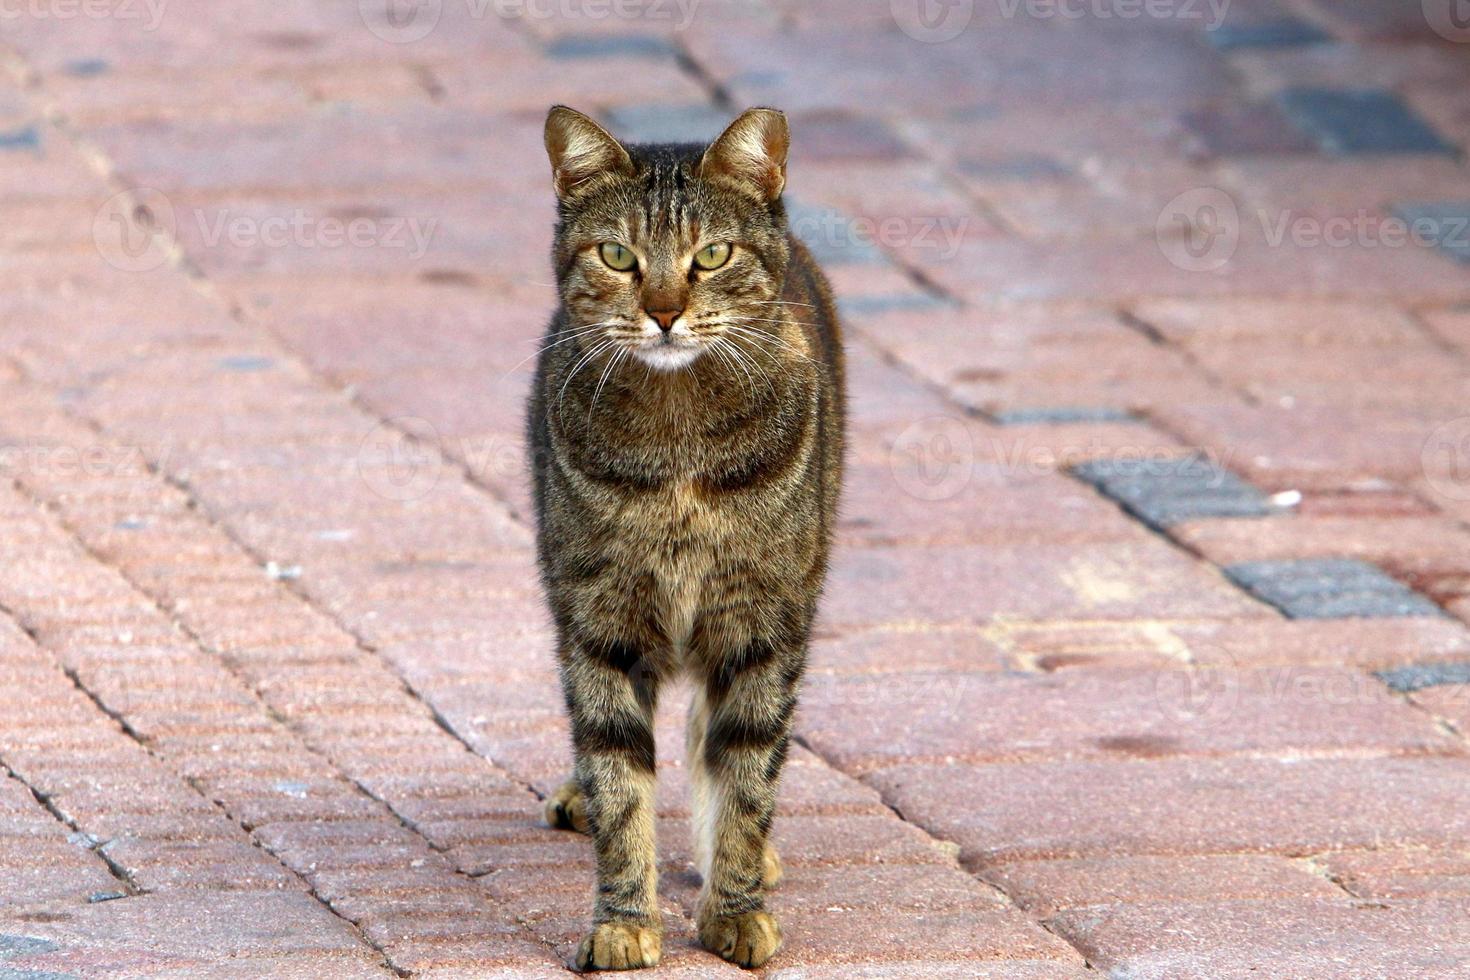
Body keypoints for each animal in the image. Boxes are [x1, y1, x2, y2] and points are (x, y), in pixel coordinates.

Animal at [526, 103, 852, 969]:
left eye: (712, 255)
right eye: (617, 255)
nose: (666, 312)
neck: (679, 444)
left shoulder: (762, 624)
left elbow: (743, 772)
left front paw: (734, 906)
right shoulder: (597, 622)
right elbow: (619, 778)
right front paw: (624, 921)